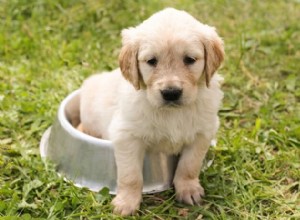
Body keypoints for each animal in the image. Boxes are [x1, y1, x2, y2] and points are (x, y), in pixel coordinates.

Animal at [78, 8, 224, 215]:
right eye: (151, 61)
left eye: (190, 60)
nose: (171, 93)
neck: (172, 113)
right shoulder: (126, 136)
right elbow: (131, 175)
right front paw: (126, 203)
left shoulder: (203, 133)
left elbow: (189, 165)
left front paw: (188, 189)